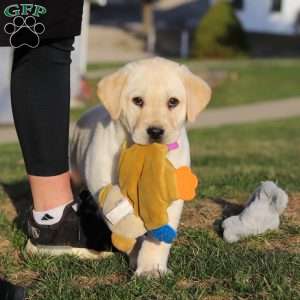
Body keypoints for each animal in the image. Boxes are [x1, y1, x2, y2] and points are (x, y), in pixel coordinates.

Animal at [70, 56, 211, 276]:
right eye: (138, 101)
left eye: (173, 102)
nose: (155, 131)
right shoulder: (102, 180)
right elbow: (124, 224)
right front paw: (136, 255)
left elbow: (159, 235)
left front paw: (152, 267)